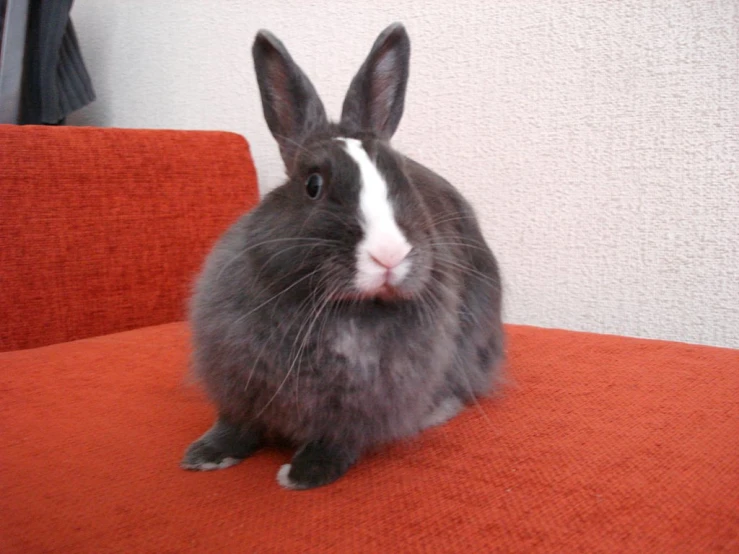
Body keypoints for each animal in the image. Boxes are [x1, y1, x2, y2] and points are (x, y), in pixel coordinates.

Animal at [182, 22, 506, 488]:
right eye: (312, 185)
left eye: (402, 176)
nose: (388, 256)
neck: (334, 310)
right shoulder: (238, 377)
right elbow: (236, 422)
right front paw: (206, 455)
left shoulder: (369, 397)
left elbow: (341, 434)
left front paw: (305, 473)